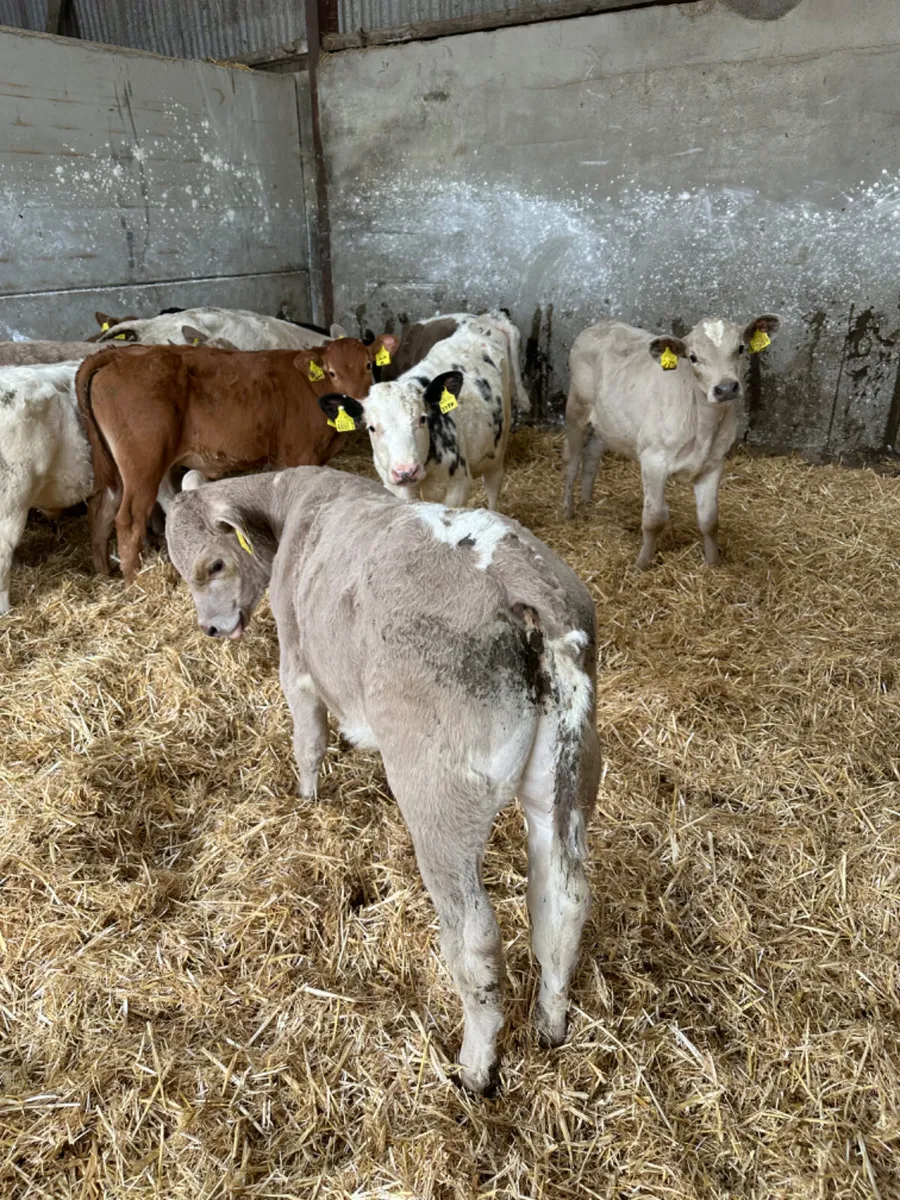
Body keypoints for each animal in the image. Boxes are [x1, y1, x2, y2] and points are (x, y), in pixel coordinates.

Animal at [77, 334, 397, 585]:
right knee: (128, 520)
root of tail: (121, 354)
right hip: (143, 463)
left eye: (368, 365)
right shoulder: (299, 453)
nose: (356, 406)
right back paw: (135, 582)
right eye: (331, 372)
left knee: (101, 509)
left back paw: (105, 575)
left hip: (117, 469)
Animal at [165, 465, 600, 1093]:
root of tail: (518, 581)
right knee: (562, 901)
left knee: (474, 937)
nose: (211, 629)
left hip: (440, 804)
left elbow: (308, 741)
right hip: (566, 780)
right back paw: (551, 1023)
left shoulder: (296, 661)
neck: (294, 506)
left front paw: (308, 799)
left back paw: (475, 1067)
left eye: (214, 565)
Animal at [318, 311, 521, 510]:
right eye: (372, 428)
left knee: (493, 486)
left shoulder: (458, 486)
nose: (406, 471)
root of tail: (486, 318)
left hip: (497, 453)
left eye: (422, 419)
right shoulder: (393, 487)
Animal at [563, 315, 780, 569]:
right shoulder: (653, 460)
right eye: (693, 357)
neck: (703, 429)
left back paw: (587, 503)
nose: (726, 388)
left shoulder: (714, 463)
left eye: (740, 348)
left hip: (607, 422)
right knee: (572, 460)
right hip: (576, 409)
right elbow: (654, 518)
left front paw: (712, 563)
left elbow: (709, 520)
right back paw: (568, 511)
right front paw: (642, 564)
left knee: (592, 455)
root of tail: (600, 325)